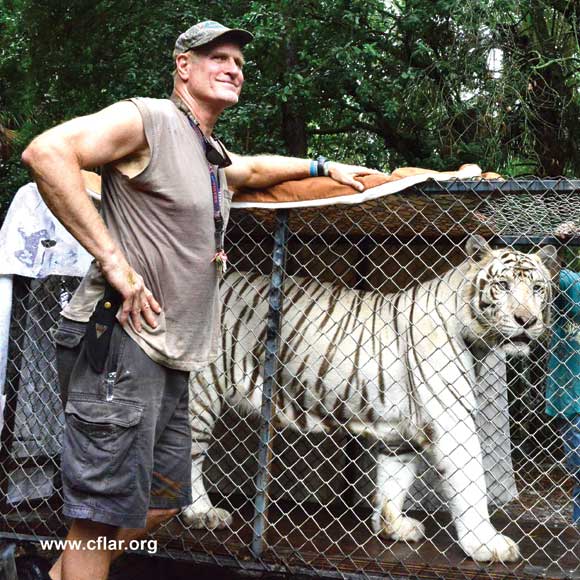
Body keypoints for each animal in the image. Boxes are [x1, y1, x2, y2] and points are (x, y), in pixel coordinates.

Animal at [182, 236, 556, 560]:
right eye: (503, 286)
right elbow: (472, 484)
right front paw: (486, 544)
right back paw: (202, 512)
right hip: (200, 391)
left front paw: (393, 527)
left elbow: (394, 481)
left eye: (537, 288)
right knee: (189, 456)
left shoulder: (400, 433)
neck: (478, 341)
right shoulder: (453, 421)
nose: (527, 320)